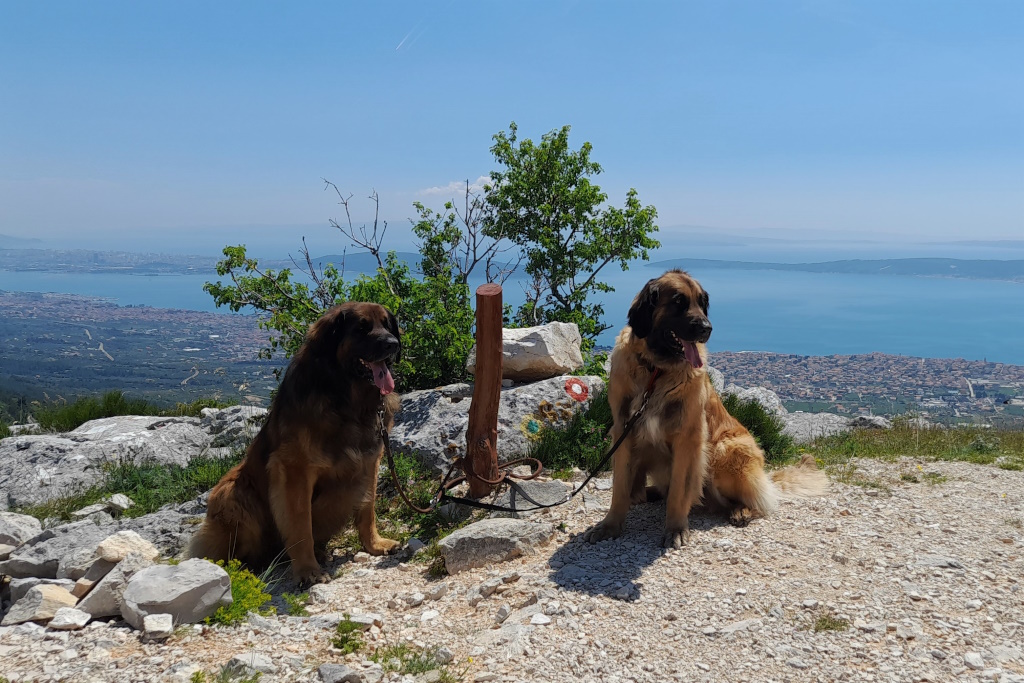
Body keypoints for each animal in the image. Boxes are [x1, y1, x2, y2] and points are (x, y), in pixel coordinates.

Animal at [187, 301, 399, 585]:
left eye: (387, 325)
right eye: (362, 328)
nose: (393, 344)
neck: (347, 399)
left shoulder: (369, 463)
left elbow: (368, 510)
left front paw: (374, 545)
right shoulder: (294, 472)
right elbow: (300, 526)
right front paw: (308, 570)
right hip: (231, 493)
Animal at [589, 270, 827, 548]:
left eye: (702, 303)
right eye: (679, 302)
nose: (707, 328)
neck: (656, 371)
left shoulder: (688, 438)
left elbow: (679, 491)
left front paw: (676, 529)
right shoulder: (623, 431)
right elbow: (620, 488)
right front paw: (611, 525)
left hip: (725, 450)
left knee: (753, 501)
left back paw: (741, 511)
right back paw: (646, 493)